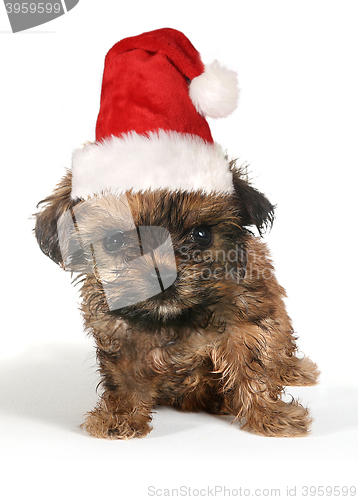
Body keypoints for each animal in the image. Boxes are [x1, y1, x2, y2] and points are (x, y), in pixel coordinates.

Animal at [35, 163, 320, 438]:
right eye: (114, 241)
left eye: (202, 235)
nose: (162, 275)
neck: (172, 317)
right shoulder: (119, 337)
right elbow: (123, 382)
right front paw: (120, 418)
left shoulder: (244, 326)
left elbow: (252, 368)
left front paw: (270, 415)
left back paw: (293, 370)